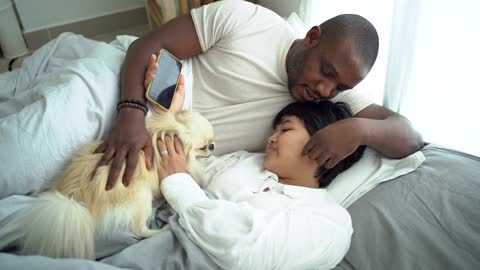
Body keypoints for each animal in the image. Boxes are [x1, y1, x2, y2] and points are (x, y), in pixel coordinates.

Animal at [0, 71, 214, 260]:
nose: (213, 146)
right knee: (139, 230)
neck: (170, 130)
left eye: (211, 141)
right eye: (202, 147)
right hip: (141, 195)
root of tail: (76, 198)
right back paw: (165, 228)